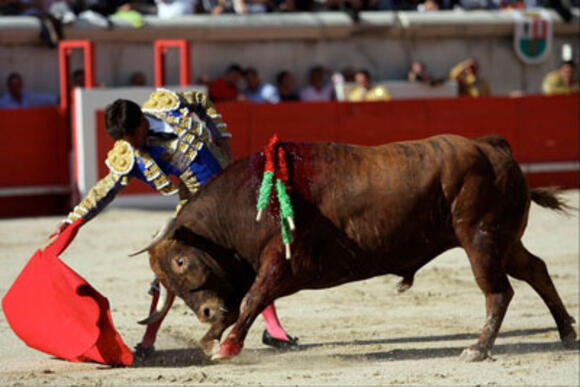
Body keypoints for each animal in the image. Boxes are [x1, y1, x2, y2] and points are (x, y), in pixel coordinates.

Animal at [139, 135, 576, 362]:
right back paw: (567, 332)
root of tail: (493, 147)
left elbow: (250, 300)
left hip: (480, 240)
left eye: (182, 261)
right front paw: (210, 338)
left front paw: (225, 346)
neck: (245, 206)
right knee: (535, 269)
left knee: (498, 291)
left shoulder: (280, 264)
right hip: (504, 241)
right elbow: (242, 302)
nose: (206, 312)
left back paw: (477, 349)